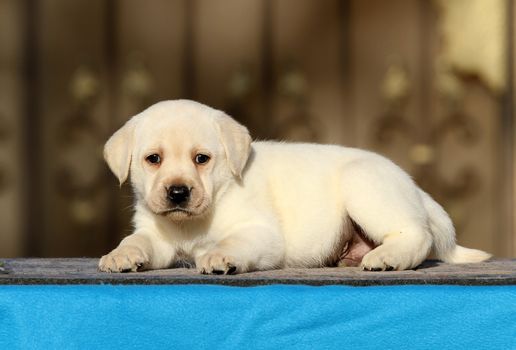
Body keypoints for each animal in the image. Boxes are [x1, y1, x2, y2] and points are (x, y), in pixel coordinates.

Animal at [98, 99, 492, 274]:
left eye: (202, 159)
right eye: (153, 159)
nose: (178, 192)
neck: (191, 225)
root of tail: (415, 189)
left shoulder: (261, 232)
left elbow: (232, 241)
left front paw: (219, 256)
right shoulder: (157, 236)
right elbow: (137, 241)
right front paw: (121, 255)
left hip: (364, 185)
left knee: (416, 235)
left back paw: (387, 258)